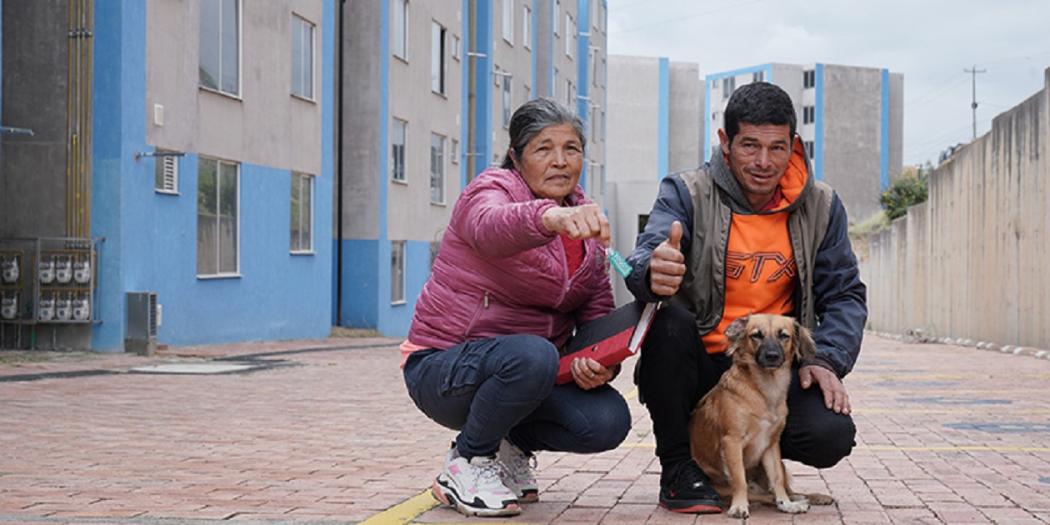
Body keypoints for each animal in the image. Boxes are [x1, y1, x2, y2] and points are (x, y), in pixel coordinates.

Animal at [688, 312, 835, 518]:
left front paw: (786, 504)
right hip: (721, 488)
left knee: (784, 490)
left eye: (784, 336)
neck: (765, 391)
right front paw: (739, 506)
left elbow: (778, 479)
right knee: (762, 495)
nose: (772, 356)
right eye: (756, 335)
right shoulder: (732, 441)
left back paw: (805, 498)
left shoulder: (771, 445)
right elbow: (739, 479)